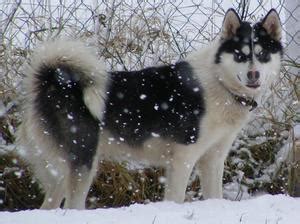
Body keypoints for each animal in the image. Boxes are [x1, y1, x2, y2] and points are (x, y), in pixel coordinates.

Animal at [17, 8, 282, 208]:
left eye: (262, 54)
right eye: (240, 55)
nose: (253, 74)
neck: (219, 83)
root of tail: (54, 83)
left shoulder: (213, 159)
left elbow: (214, 195)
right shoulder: (183, 158)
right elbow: (175, 198)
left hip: (58, 174)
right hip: (82, 162)